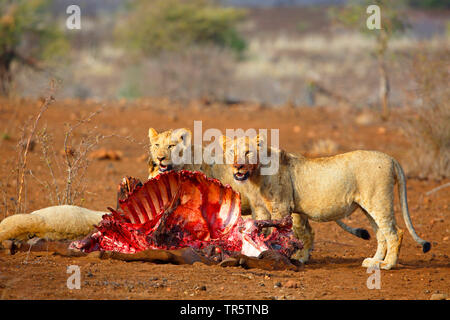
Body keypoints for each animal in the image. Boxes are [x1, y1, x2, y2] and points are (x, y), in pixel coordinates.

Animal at [220, 133, 430, 270]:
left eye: (248, 152)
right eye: (231, 151)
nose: (238, 166)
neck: (255, 176)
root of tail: (391, 158)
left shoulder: (281, 208)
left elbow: (279, 234)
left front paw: (278, 257)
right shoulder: (262, 210)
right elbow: (261, 232)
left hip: (379, 201)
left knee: (395, 233)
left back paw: (387, 265)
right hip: (368, 207)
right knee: (381, 235)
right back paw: (373, 261)